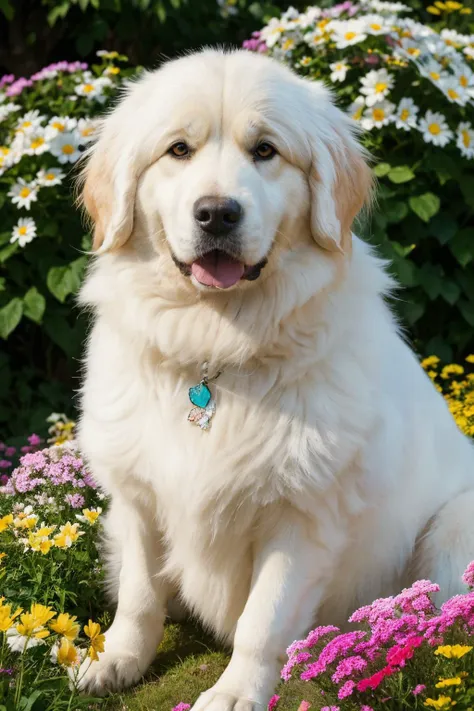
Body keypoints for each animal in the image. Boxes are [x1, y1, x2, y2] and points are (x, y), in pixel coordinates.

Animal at [78, 48, 474, 708]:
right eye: (178, 150)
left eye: (265, 150)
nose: (216, 213)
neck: (215, 353)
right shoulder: (137, 497)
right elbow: (138, 596)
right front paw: (115, 660)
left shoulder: (304, 514)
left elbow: (261, 623)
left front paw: (235, 693)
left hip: (455, 528)